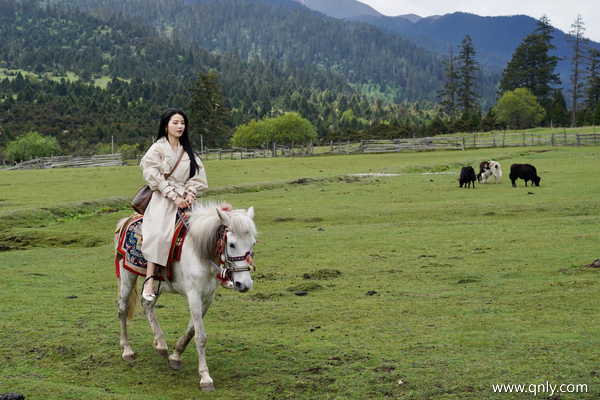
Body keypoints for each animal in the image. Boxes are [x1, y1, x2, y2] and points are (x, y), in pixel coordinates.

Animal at [116, 202, 256, 392]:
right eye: (232, 244)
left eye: (253, 243)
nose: (244, 284)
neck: (200, 253)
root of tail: (126, 220)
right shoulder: (194, 295)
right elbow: (200, 337)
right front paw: (205, 378)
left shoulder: (207, 297)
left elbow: (192, 330)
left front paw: (176, 356)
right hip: (127, 275)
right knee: (123, 309)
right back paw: (127, 351)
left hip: (157, 283)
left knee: (147, 304)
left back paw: (161, 345)